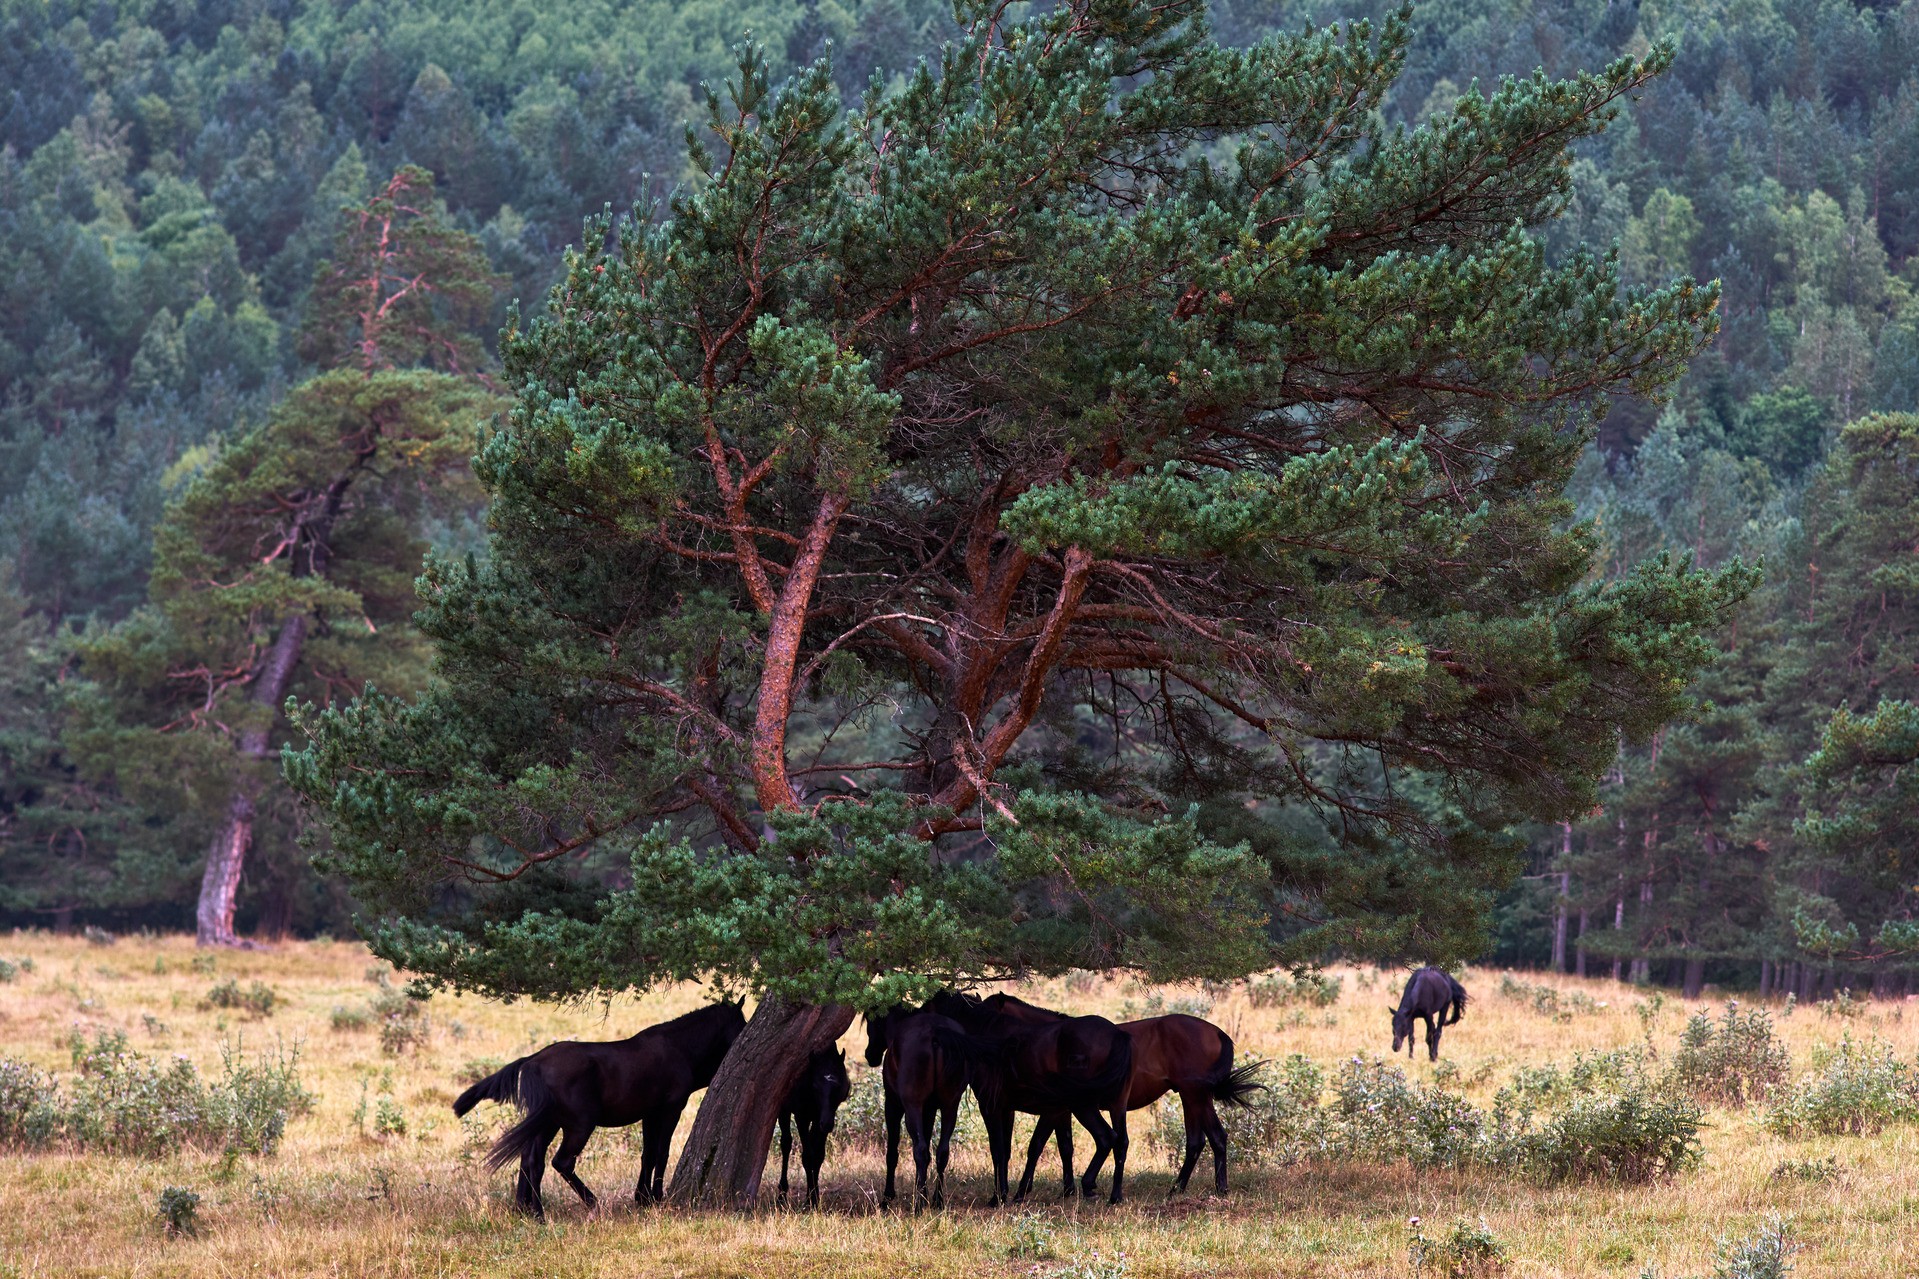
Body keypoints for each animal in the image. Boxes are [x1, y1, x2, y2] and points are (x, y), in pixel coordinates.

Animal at [452, 998, 744, 1213]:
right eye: (741, 1023)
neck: (678, 1048)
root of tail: (533, 1061)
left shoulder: (649, 1114)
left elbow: (648, 1154)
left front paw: (643, 1198)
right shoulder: (670, 1110)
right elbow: (662, 1153)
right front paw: (657, 1197)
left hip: (548, 1124)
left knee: (531, 1159)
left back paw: (529, 1209)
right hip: (580, 1125)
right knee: (561, 1162)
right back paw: (584, 1203)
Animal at [775, 1044, 852, 1198]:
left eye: (838, 1086)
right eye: (815, 1086)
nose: (827, 1124)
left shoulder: (818, 1119)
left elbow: (818, 1155)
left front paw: (814, 1195)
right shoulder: (801, 1117)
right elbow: (808, 1156)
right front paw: (810, 1198)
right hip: (784, 1110)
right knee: (786, 1143)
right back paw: (782, 1193)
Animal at [863, 998, 974, 1198]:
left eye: (870, 1020)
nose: (870, 1055)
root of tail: (936, 1035)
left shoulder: (892, 1105)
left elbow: (892, 1153)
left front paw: (888, 1196)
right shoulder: (929, 1110)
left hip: (912, 1107)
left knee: (920, 1150)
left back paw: (921, 1201)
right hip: (950, 1107)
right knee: (942, 1152)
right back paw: (937, 1199)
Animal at [932, 983, 1136, 1206]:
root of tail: (1117, 1035)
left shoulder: (1010, 1108)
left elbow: (1027, 1147)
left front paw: (1011, 1194)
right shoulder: (1023, 1110)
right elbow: (1059, 1146)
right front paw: (1065, 1190)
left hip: (1085, 1107)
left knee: (1106, 1137)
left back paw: (1089, 1184)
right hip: (1116, 1106)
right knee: (1121, 1142)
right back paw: (1115, 1195)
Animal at [1020, 1006, 1258, 1198]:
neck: (1052, 1041)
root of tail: (1216, 1031)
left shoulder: (1056, 1109)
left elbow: (1040, 1144)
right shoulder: (1064, 1110)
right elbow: (1065, 1146)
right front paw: (1067, 1190)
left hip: (1193, 1095)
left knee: (1205, 1139)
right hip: (1195, 1097)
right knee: (1206, 1139)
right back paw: (1197, 1188)